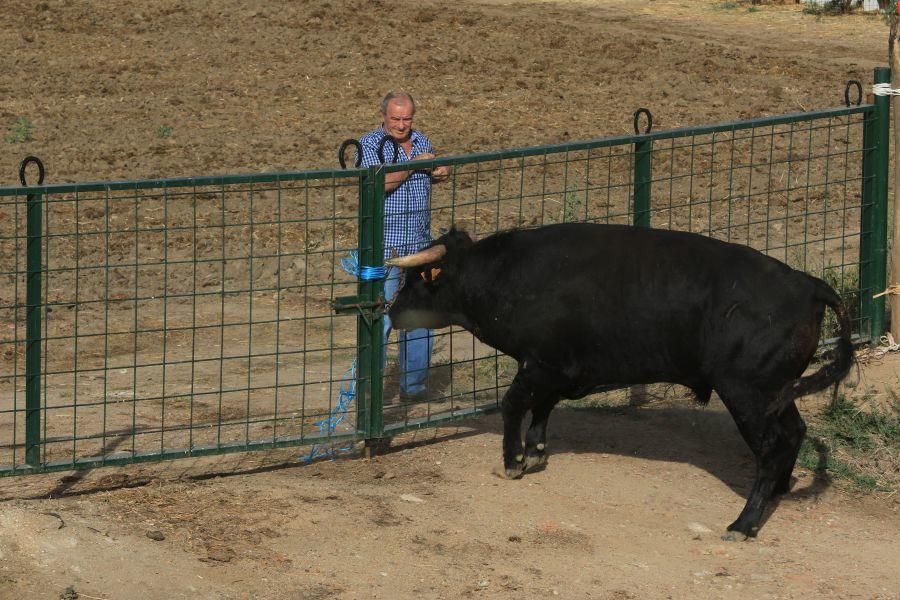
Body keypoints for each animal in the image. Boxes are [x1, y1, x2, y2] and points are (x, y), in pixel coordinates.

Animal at [384, 223, 852, 536]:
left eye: (415, 278)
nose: (390, 311)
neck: (505, 274)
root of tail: (808, 285)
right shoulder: (555, 369)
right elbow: (542, 407)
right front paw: (535, 453)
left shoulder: (540, 364)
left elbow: (514, 404)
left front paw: (514, 461)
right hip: (776, 393)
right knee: (793, 432)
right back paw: (778, 491)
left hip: (748, 394)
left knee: (771, 448)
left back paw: (745, 522)